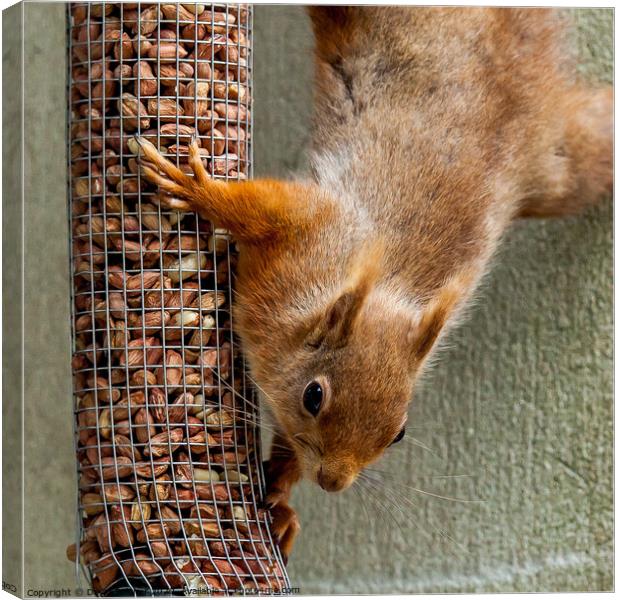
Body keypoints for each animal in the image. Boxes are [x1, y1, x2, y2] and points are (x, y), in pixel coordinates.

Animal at [138, 7, 612, 560]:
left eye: (399, 433)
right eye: (313, 397)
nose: (333, 482)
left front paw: (280, 493)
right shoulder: (312, 230)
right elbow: (259, 210)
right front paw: (199, 190)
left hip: (562, 171)